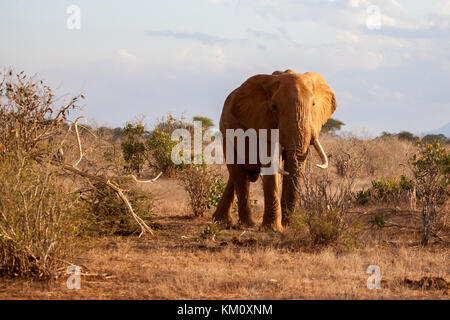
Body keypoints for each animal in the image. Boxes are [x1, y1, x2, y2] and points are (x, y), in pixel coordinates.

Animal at [213, 69, 336, 231]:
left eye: (314, 104)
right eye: (274, 107)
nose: (289, 224)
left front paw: (285, 226)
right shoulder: (263, 122)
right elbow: (271, 163)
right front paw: (273, 229)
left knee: (237, 176)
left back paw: (220, 221)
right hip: (225, 131)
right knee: (238, 174)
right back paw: (248, 224)